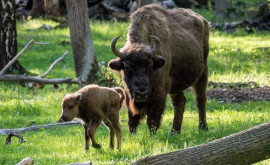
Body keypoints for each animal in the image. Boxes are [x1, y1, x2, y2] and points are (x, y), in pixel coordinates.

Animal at [108, 3, 210, 134]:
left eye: (150, 65)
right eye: (126, 67)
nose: (141, 92)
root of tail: (203, 21)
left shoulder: (159, 92)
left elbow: (152, 119)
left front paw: (152, 136)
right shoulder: (128, 93)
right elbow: (132, 119)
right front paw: (132, 134)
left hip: (202, 73)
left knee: (200, 99)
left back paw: (203, 127)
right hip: (175, 85)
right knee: (180, 102)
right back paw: (174, 132)